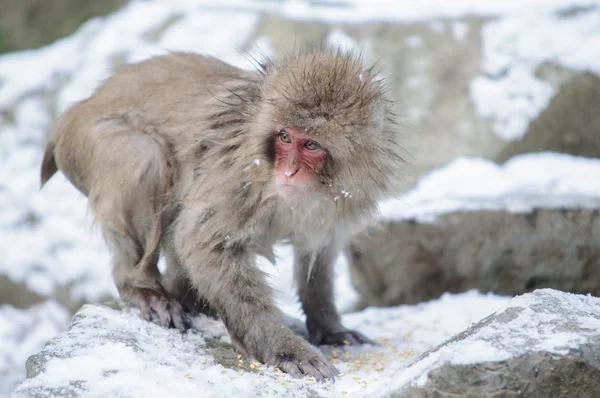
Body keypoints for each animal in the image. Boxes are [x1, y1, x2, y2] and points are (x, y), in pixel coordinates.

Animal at [41, 49, 404, 380]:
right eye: (285, 137)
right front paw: (286, 350)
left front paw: (329, 327)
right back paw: (143, 287)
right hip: (89, 143)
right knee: (146, 155)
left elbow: (320, 255)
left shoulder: (343, 203)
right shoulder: (237, 179)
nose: (288, 172)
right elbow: (203, 242)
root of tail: (76, 109)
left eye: (311, 145)